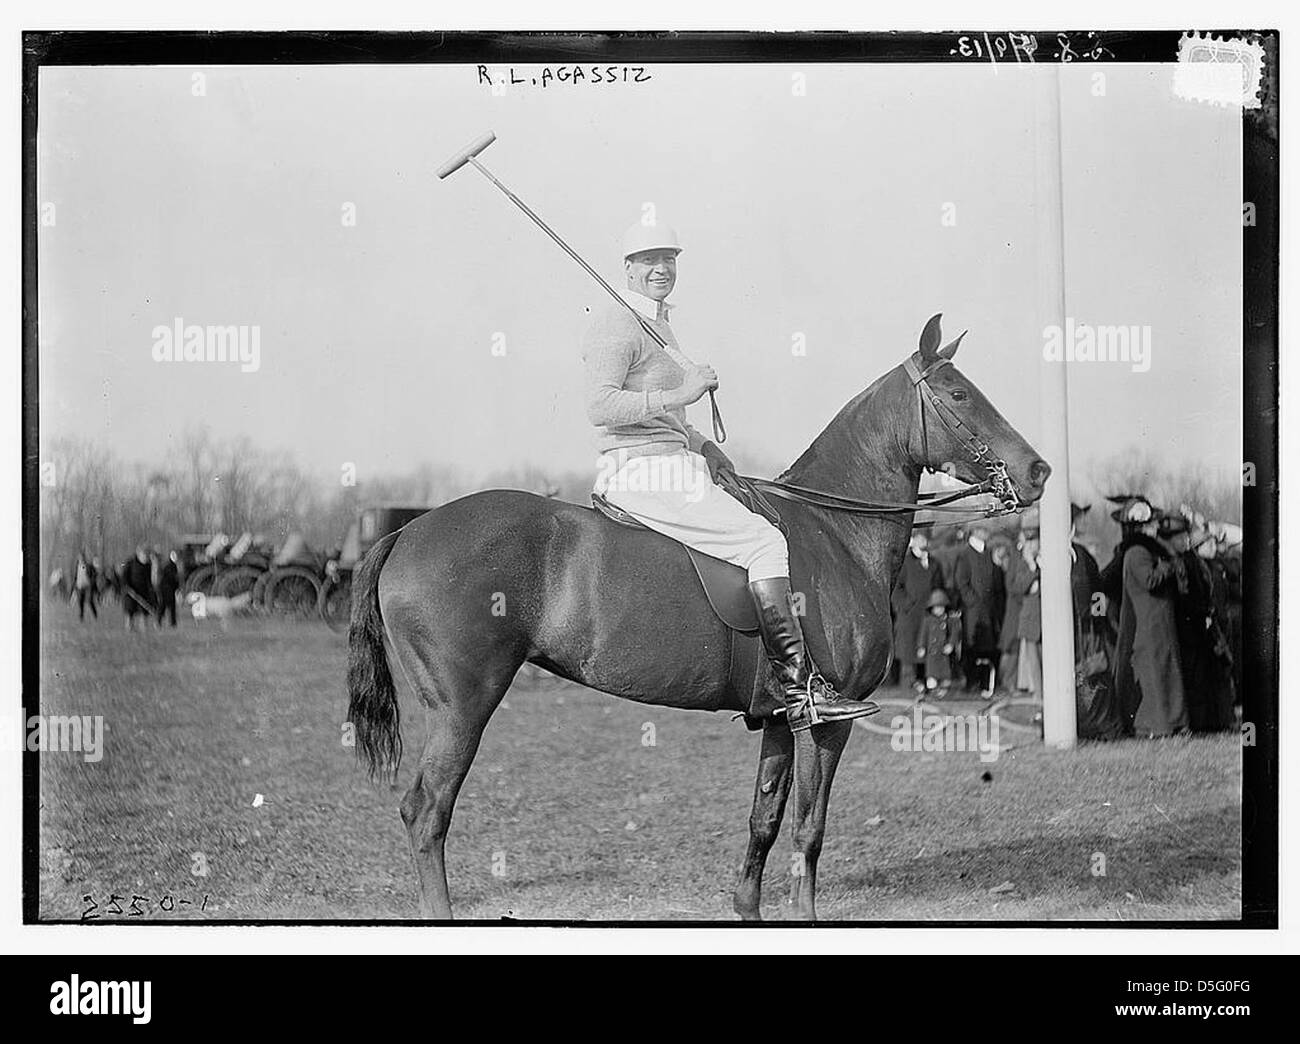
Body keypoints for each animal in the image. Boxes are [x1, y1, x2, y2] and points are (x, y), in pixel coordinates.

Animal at [345, 314, 1045, 920]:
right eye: (959, 393)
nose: (1038, 471)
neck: (834, 532)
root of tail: (406, 533)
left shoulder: (779, 720)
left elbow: (765, 820)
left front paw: (749, 910)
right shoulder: (829, 723)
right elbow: (809, 828)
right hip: (463, 706)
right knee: (427, 811)